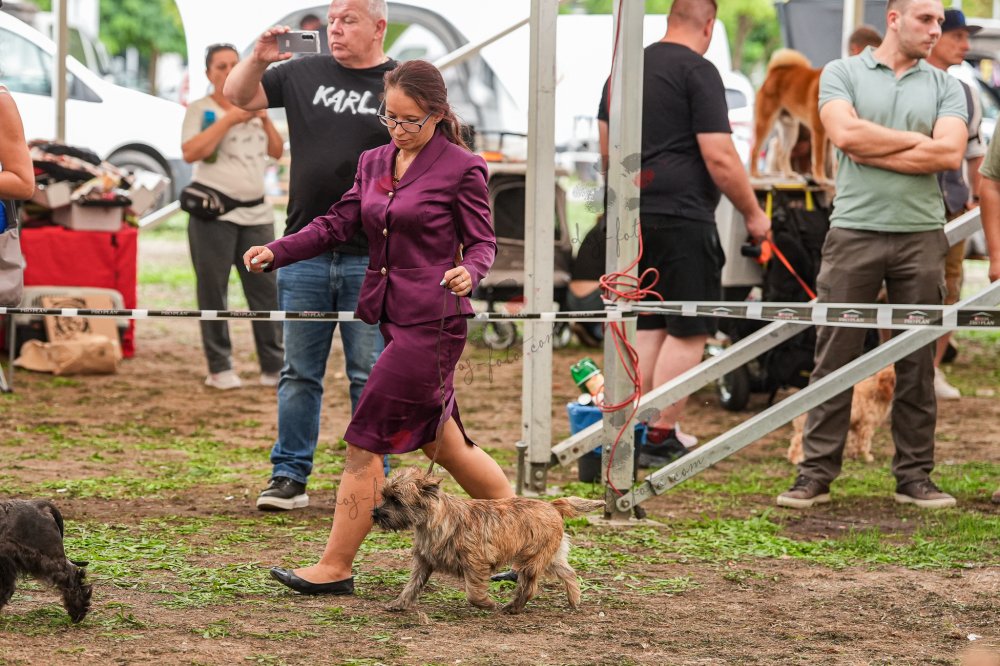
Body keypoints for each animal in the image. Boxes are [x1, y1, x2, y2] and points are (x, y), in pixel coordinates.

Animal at [372, 467, 604, 614]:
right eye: (385, 496)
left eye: (397, 501)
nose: (375, 514)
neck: (435, 520)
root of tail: (552, 505)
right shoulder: (423, 562)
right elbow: (411, 585)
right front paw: (399, 603)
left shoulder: (476, 563)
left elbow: (473, 592)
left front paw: (486, 604)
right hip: (548, 558)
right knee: (568, 573)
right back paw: (574, 599)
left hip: (531, 560)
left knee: (529, 587)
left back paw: (512, 608)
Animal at [751, 49, 830, 184]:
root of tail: (773, 73)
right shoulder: (819, 130)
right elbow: (819, 159)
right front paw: (821, 178)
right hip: (766, 124)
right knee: (754, 150)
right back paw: (755, 174)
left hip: (790, 130)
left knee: (783, 154)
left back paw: (788, 174)